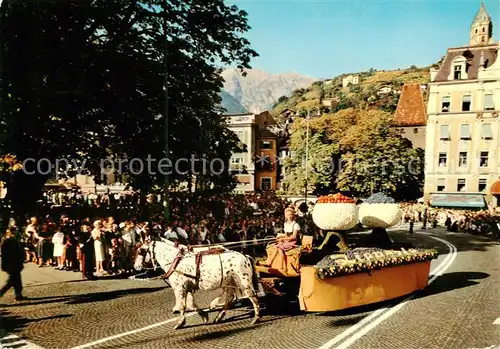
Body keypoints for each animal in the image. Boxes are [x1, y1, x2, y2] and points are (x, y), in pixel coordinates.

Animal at [135, 235, 264, 328]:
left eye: (140, 251)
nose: (136, 267)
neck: (175, 261)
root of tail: (245, 256)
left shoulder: (180, 288)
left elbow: (183, 305)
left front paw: (180, 323)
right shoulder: (187, 287)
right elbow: (190, 304)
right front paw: (204, 316)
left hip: (244, 282)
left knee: (253, 297)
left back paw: (256, 318)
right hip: (230, 281)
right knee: (229, 298)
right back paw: (219, 316)